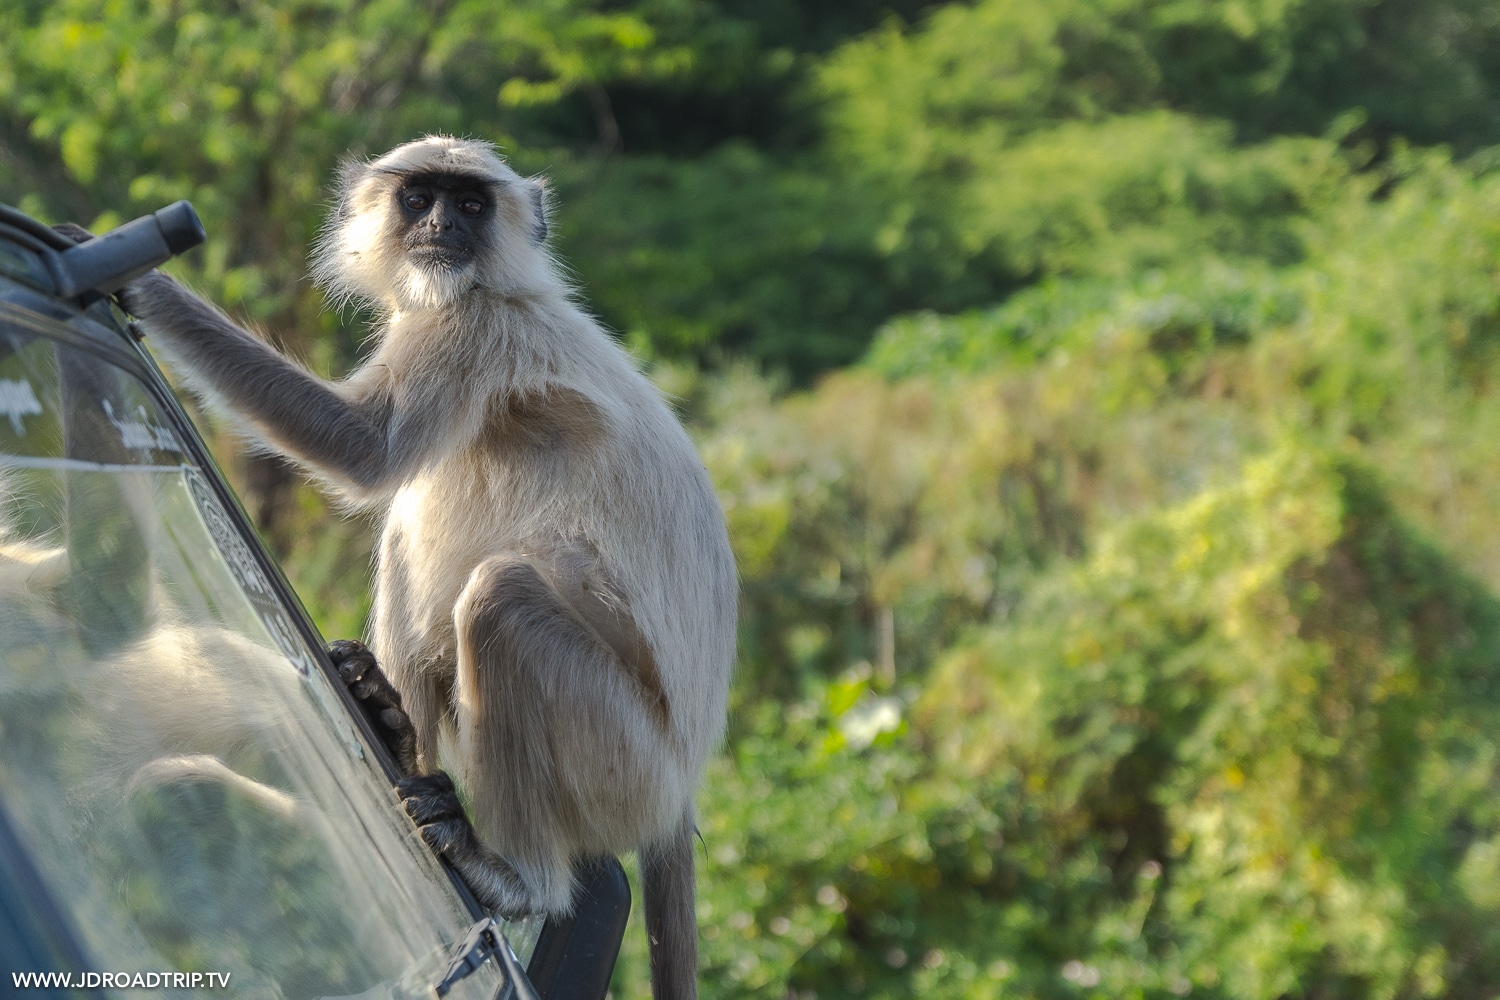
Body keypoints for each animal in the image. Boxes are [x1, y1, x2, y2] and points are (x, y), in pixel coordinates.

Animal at [107, 134, 738, 1000]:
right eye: (419, 198)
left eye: (470, 203)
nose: (442, 226)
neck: (498, 290)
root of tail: (681, 796)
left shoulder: (470, 331)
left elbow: (362, 447)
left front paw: (128, 275)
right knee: (410, 530)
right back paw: (391, 723)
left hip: (625, 760)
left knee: (497, 594)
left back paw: (513, 876)